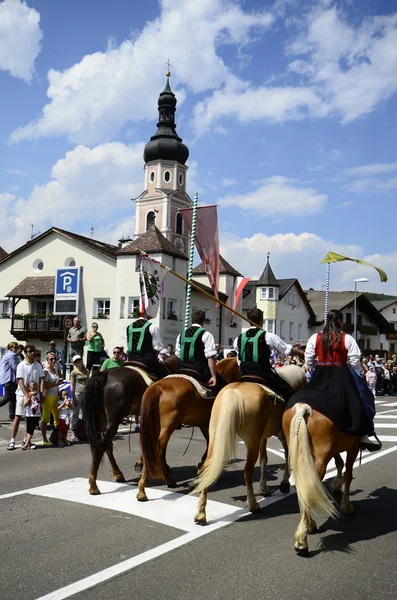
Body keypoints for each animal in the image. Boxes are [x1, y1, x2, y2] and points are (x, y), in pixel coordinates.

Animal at [84, 356, 178, 496]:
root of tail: (105, 374)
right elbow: (160, 445)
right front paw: (161, 466)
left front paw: (142, 463)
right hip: (114, 419)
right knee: (103, 445)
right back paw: (93, 485)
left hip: (103, 420)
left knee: (107, 445)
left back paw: (118, 474)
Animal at [136, 356, 241, 502]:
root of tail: (158, 386)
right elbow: (210, 444)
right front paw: (204, 466)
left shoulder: (204, 425)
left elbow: (208, 444)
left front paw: (202, 465)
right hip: (168, 426)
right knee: (156, 450)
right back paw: (144, 490)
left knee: (151, 450)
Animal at [192, 364, 306, 524]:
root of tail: (234, 391)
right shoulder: (282, 436)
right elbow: (287, 456)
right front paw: (284, 484)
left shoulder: (262, 438)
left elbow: (264, 459)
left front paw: (264, 488)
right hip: (251, 442)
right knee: (247, 471)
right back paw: (253, 504)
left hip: (217, 436)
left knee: (208, 467)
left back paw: (201, 514)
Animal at [282, 406, 358, 556]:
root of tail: (302, 407)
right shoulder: (354, 446)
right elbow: (348, 474)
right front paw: (346, 506)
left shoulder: (336, 447)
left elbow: (339, 463)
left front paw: (337, 488)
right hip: (320, 457)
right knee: (310, 488)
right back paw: (302, 540)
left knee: (303, 490)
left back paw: (308, 526)